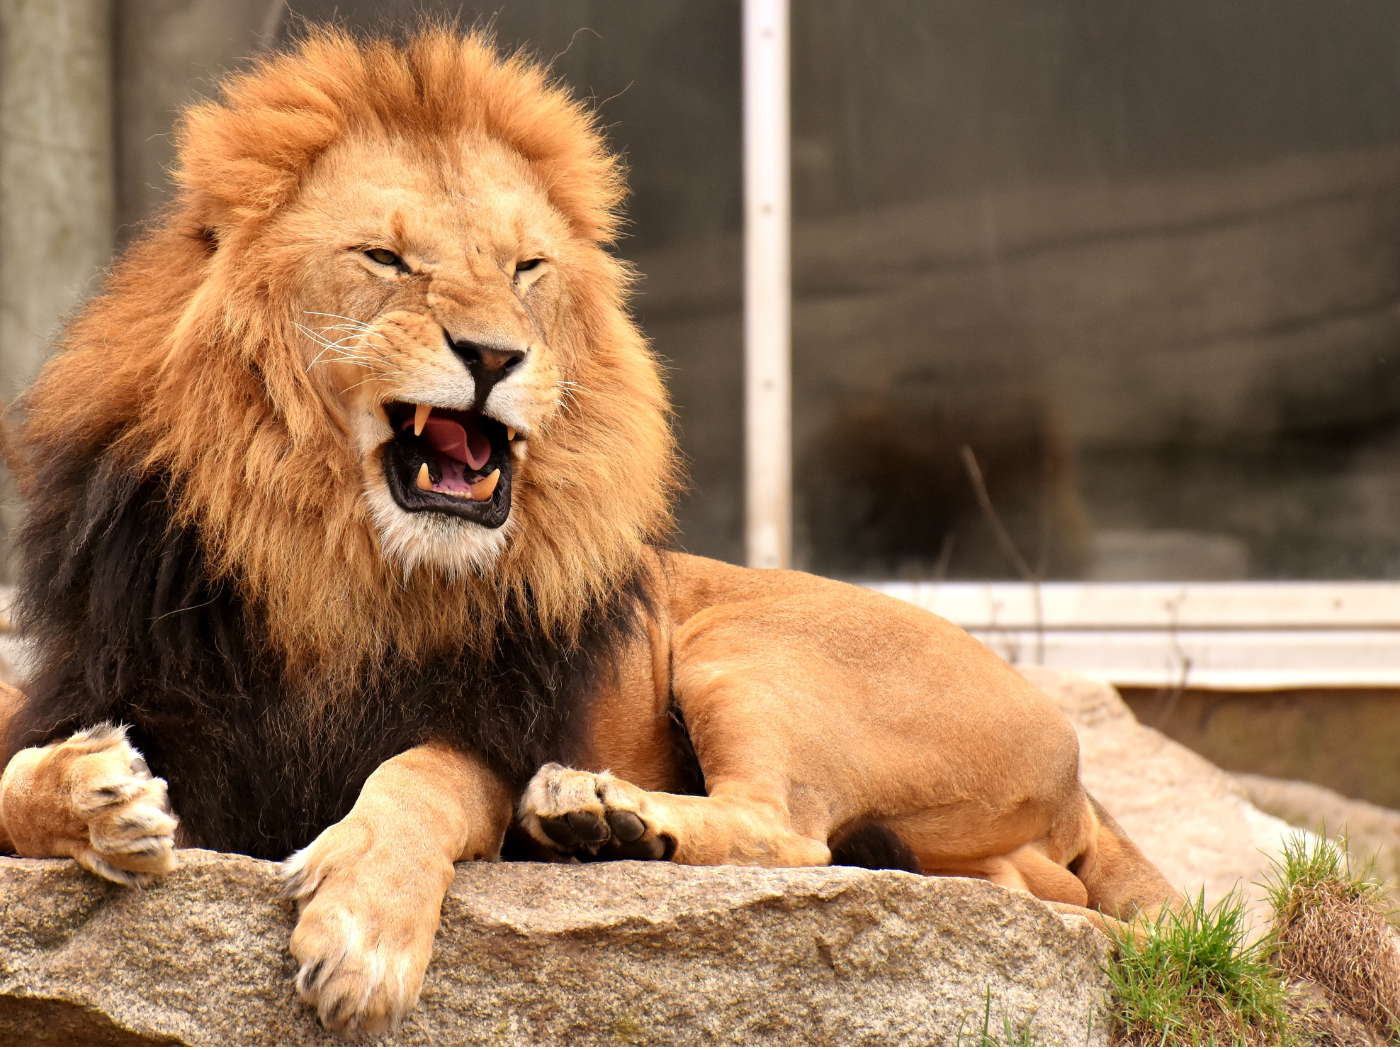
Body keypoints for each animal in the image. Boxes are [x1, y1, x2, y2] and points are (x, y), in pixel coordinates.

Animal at [0, 28, 1178, 1035]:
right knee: (1010, 883)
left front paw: (363, 935)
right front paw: (96, 796)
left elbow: (417, 778)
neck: (333, 567)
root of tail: (1078, 767)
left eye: (526, 269)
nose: (492, 355)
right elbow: (16, 777)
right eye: (385, 259)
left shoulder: (490, 730)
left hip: (745, 645)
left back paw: (596, 814)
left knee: (793, 832)